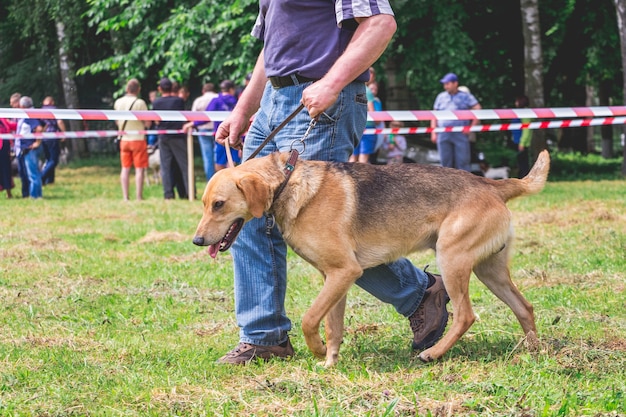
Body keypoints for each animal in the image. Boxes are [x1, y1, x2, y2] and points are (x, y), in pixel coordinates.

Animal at [193, 150, 548, 364]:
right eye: (204, 204)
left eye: (219, 205)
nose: (197, 240)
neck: (288, 181)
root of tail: (492, 184)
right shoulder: (334, 278)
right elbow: (332, 326)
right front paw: (330, 361)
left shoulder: (345, 272)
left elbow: (309, 320)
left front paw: (317, 350)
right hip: (491, 272)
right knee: (525, 307)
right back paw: (533, 351)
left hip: (452, 260)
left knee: (465, 316)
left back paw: (433, 353)